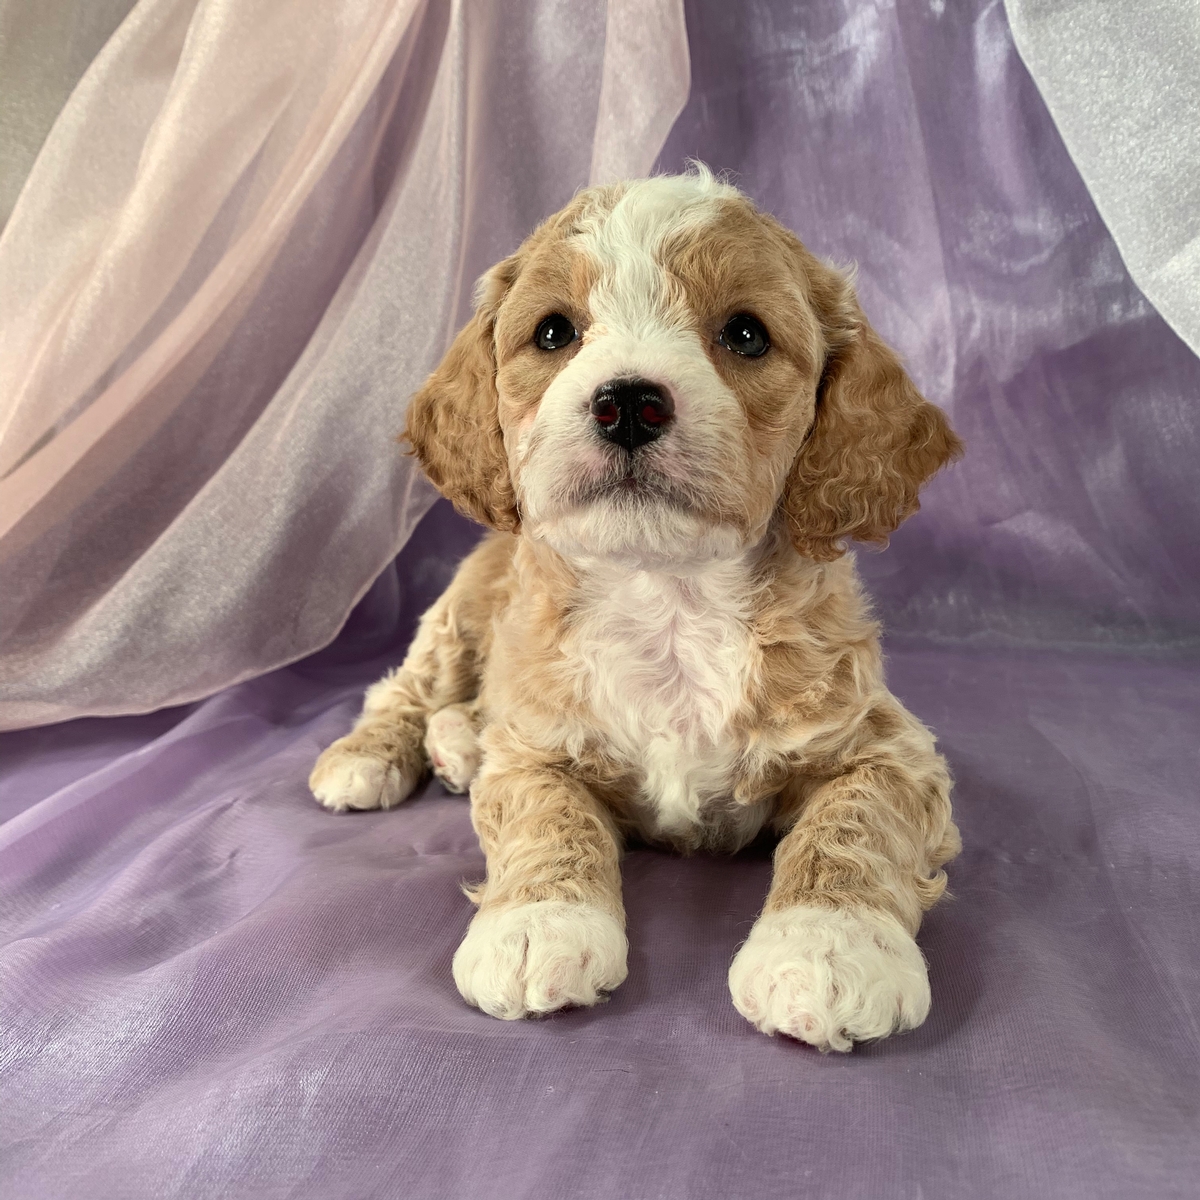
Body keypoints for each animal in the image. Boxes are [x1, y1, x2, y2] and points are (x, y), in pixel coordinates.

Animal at [304, 166, 960, 1051]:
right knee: (406, 687)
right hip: (461, 612)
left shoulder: (886, 747)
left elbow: (854, 825)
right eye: (553, 333)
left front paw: (827, 946)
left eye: (746, 335)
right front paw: (538, 926)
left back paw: (458, 747)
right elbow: (547, 815)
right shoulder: (538, 744)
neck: (668, 599)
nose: (627, 402)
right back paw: (373, 755)